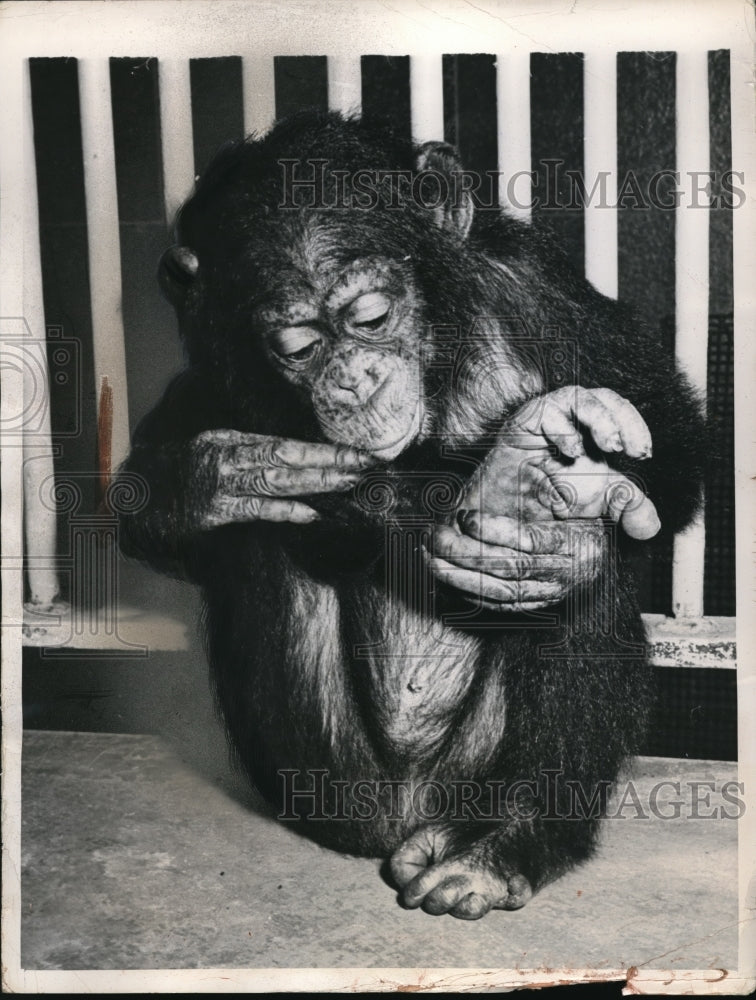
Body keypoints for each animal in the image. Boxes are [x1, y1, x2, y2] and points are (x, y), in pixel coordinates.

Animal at [116, 110, 705, 919]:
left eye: (371, 316)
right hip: (332, 780)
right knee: (255, 538)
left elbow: (669, 436)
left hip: (472, 769)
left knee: (586, 559)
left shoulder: (540, 289)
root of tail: (412, 815)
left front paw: (507, 480)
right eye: (297, 346)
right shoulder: (218, 361)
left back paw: (506, 843)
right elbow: (144, 489)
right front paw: (214, 477)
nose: (352, 378)